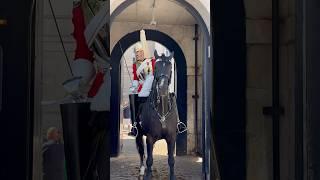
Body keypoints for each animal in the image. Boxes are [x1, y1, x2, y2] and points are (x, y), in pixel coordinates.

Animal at [134, 49, 178, 180]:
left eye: (170, 68)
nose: (162, 88)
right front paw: (147, 175)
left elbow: (171, 160)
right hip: (139, 135)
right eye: (156, 67)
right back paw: (142, 171)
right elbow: (149, 159)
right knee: (142, 152)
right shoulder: (150, 137)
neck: (162, 110)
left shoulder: (171, 137)